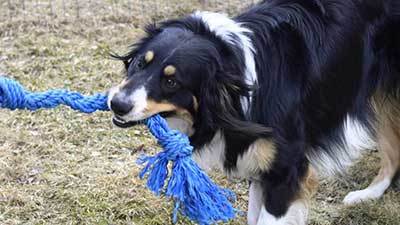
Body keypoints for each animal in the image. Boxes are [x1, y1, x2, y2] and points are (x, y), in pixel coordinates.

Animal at [107, 0, 400, 224]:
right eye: (139, 63)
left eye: (171, 82)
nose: (117, 104)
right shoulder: (262, 167)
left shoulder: (286, 171)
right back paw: (368, 194)